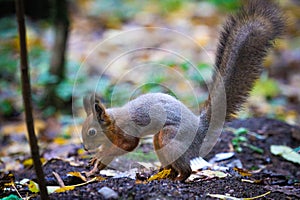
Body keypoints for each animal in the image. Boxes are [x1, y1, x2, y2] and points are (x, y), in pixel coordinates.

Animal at [81, 0, 284, 181]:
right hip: (160, 141)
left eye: (92, 132)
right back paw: (164, 175)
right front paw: (96, 161)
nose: (85, 148)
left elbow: (128, 145)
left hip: (169, 137)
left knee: (187, 169)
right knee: (172, 165)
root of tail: (199, 129)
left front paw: (99, 158)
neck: (113, 122)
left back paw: (179, 178)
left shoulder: (127, 131)